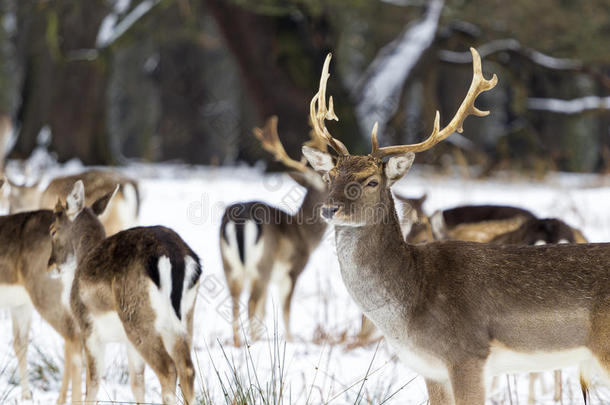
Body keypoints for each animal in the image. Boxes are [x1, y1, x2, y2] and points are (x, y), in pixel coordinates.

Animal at [48, 181, 200, 404]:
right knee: (187, 368)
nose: (49, 266)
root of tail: (175, 256)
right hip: (184, 320)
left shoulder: (88, 329)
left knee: (168, 369)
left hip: (138, 319)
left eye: (52, 230)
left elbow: (92, 383)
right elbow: (137, 384)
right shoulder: (127, 344)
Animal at [220, 115, 328, 346]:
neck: (306, 234)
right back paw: (251, 342)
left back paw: (238, 342)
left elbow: (265, 311)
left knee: (235, 302)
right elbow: (285, 310)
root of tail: (240, 220)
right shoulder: (291, 270)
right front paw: (290, 339)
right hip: (263, 264)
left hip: (230, 266)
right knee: (250, 303)